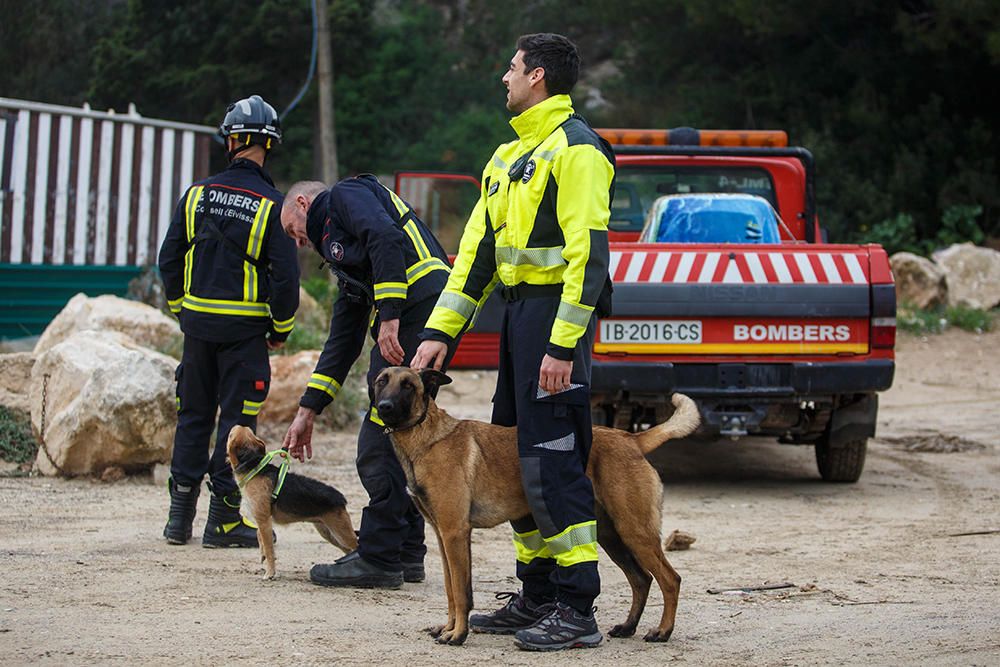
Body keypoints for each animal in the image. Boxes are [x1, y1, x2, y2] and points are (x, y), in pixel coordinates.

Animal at [225, 428, 358, 580]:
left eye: (230, 435)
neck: (253, 466)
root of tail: (341, 499)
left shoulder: (264, 520)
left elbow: (270, 550)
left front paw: (270, 573)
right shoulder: (263, 519)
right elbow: (260, 536)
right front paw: (262, 554)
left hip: (341, 533)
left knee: (356, 546)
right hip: (328, 532)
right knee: (348, 550)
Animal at [372, 366, 700, 648]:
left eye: (408, 385)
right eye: (381, 381)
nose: (384, 407)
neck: (425, 437)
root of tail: (632, 439)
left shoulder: (455, 534)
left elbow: (462, 592)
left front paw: (458, 634)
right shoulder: (443, 537)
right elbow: (452, 590)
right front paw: (449, 627)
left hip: (634, 531)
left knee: (670, 579)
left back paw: (662, 631)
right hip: (612, 536)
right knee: (641, 579)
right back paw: (628, 626)